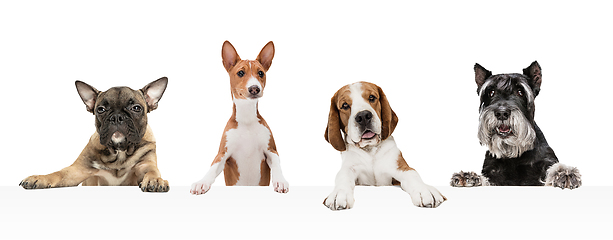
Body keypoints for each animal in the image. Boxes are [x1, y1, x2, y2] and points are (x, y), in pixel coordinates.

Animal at [20, 78, 170, 192]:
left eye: (136, 108)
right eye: (101, 109)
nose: (117, 117)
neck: (119, 151)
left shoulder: (145, 164)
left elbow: (151, 171)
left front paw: (156, 180)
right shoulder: (77, 171)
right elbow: (58, 174)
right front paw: (39, 178)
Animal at [190, 40, 288, 195]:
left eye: (261, 73)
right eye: (240, 73)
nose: (254, 88)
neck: (247, 119)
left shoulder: (271, 150)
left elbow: (277, 164)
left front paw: (281, 181)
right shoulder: (223, 154)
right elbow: (212, 167)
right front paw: (201, 182)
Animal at [320, 81, 444, 210]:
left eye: (371, 97)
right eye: (344, 105)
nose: (363, 116)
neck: (370, 150)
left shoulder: (399, 167)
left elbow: (412, 174)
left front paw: (424, 190)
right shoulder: (349, 168)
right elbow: (342, 176)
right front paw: (339, 194)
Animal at [452, 61, 580, 188]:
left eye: (520, 92)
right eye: (491, 92)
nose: (501, 113)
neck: (514, 154)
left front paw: (563, 173)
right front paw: (470, 177)